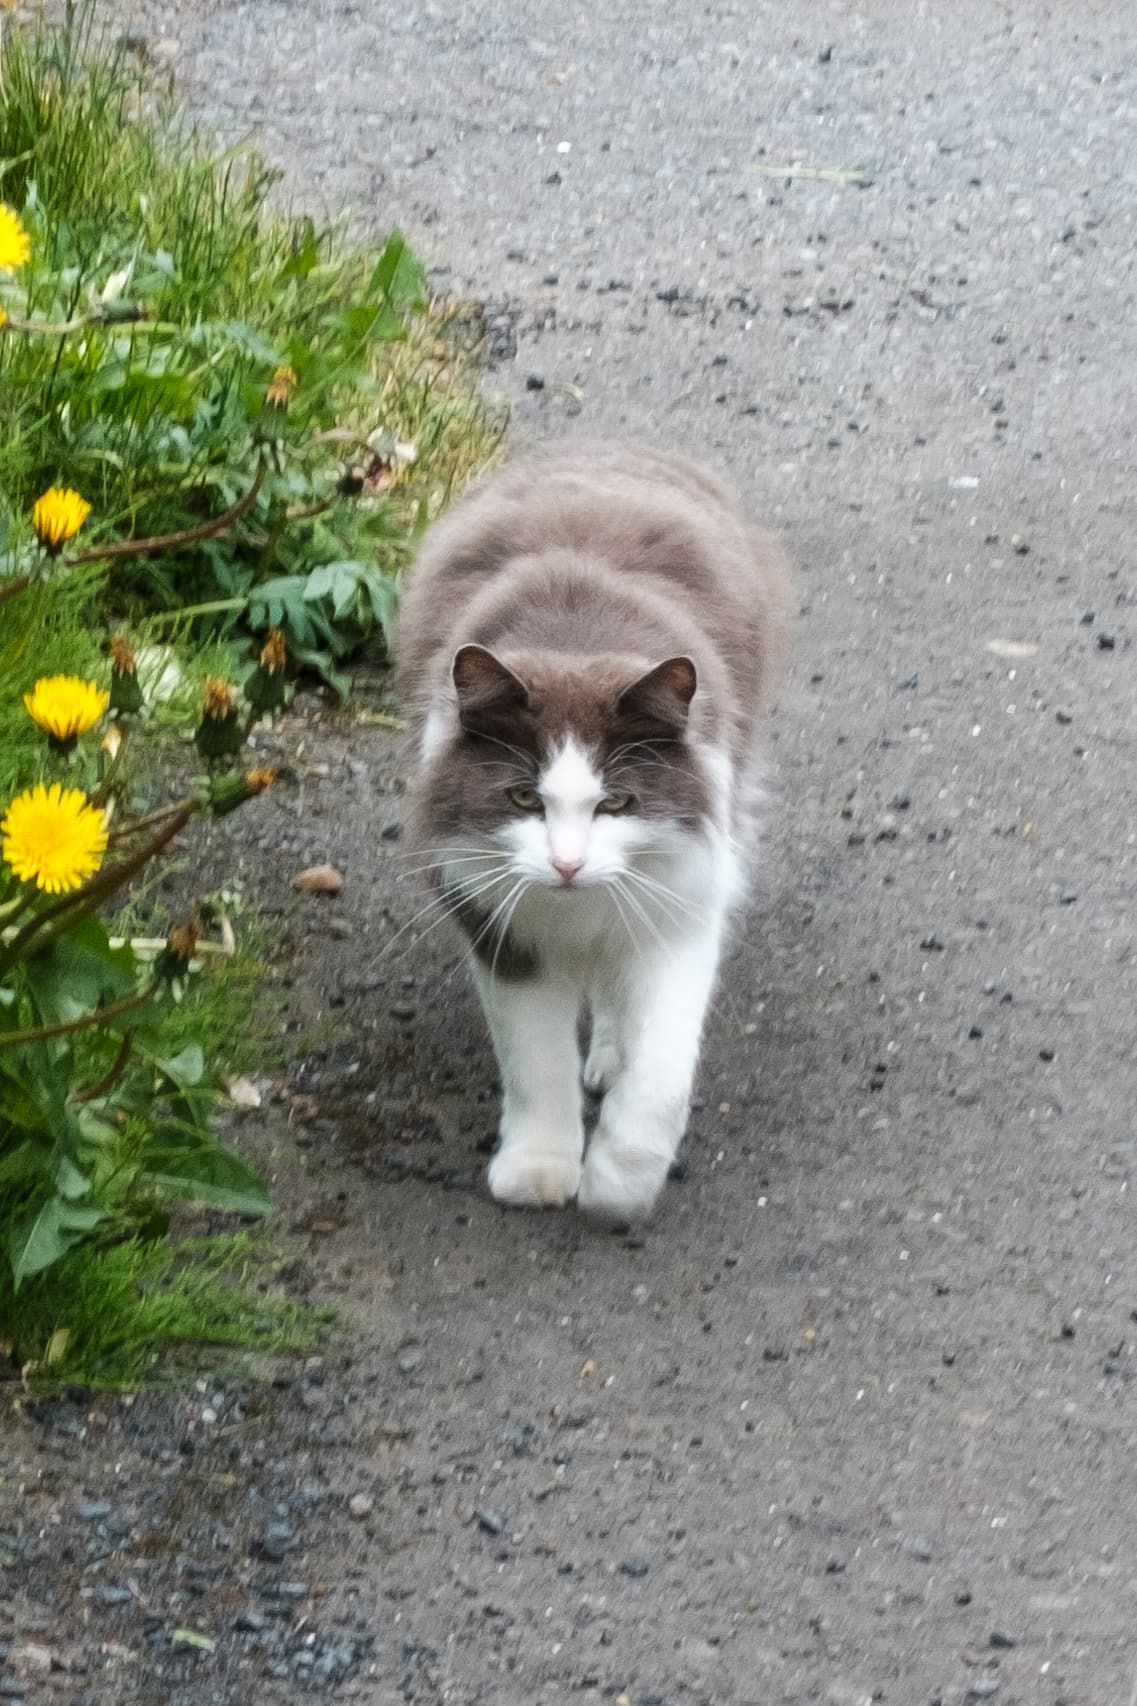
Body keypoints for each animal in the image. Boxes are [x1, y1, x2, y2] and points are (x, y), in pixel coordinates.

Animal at [394, 433, 785, 1221]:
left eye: (617, 804)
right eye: (522, 798)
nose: (567, 866)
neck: (575, 643)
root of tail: (606, 447)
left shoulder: (682, 905)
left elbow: (661, 1073)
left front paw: (616, 1188)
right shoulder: (497, 922)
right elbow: (536, 1060)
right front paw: (539, 1171)